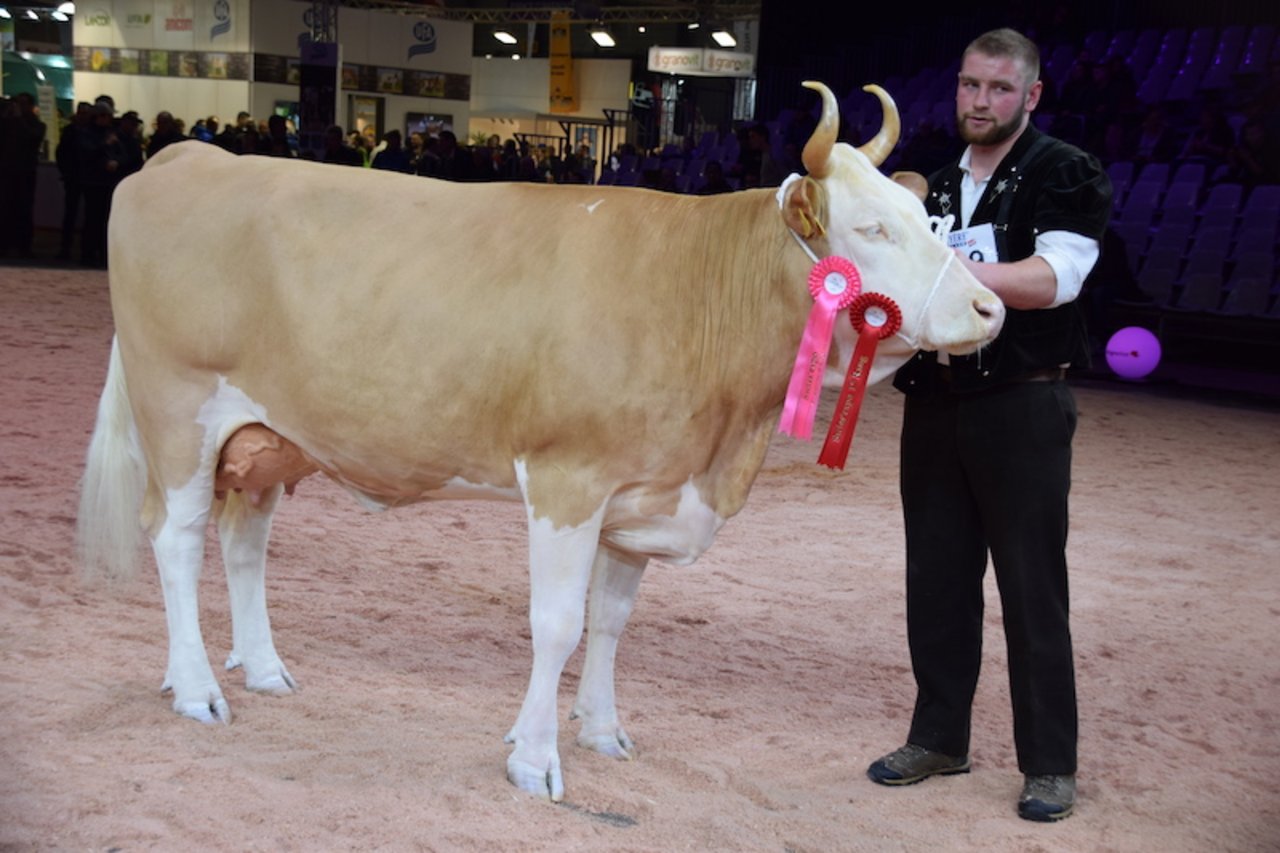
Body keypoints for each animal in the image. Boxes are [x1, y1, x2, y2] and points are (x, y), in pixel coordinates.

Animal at [74, 79, 1003, 799]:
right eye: (872, 230)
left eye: (926, 216)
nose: (989, 307)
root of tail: (188, 156)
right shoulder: (569, 480)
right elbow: (556, 623)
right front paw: (535, 758)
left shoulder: (644, 488)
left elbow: (612, 621)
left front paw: (602, 729)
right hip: (179, 410)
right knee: (177, 538)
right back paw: (198, 687)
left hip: (267, 434)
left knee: (244, 542)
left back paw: (260, 667)